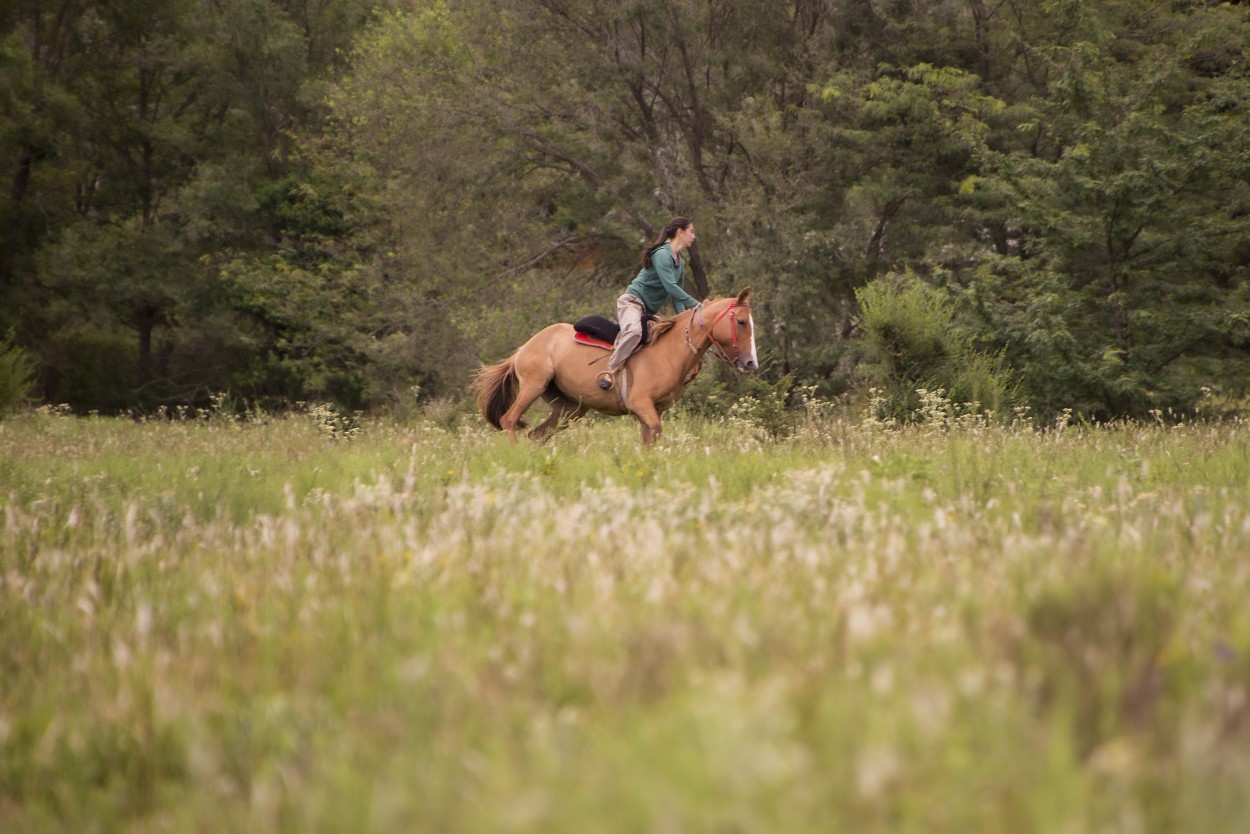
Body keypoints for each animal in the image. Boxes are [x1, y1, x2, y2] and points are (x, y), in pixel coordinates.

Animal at [470, 287, 755, 447]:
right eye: (741, 321)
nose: (751, 363)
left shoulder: (652, 411)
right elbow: (655, 434)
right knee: (509, 420)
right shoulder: (641, 404)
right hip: (534, 385)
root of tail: (522, 350)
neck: (669, 350)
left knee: (537, 435)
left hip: (570, 408)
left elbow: (650, 440)